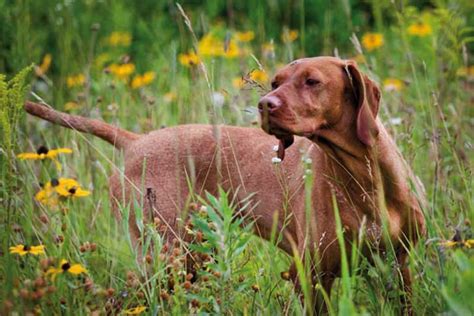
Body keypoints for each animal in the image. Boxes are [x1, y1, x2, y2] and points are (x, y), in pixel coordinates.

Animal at [24, 56, 426, 312]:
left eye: (312, 81)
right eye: (275, 82)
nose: (265, 104)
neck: (364, 180)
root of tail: (135, 140)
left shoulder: (400, 266)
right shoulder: (310, 275)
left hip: (193, 256)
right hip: (166, 254)